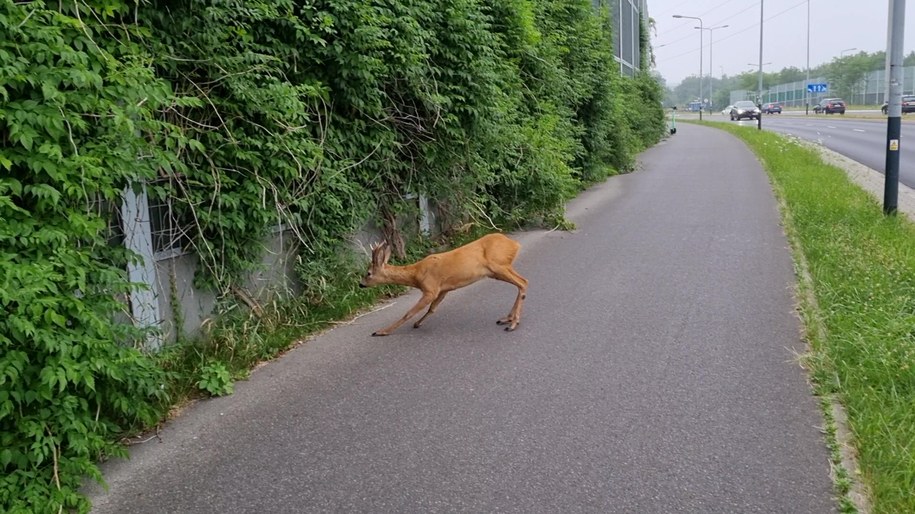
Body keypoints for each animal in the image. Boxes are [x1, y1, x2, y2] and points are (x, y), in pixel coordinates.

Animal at [358, 233, 528, 336]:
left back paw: (513, 323)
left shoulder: (430, 288)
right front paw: (417, 324)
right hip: (497, 271)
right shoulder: (443, 289)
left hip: (498, 265)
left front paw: (382, 331)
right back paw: (507, 319)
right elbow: (433, 308)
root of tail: (515, 244)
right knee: (522, 282)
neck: (416, 274)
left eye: (368, 273)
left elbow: (409, 312)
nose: (360, 284)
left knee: (523, 282)